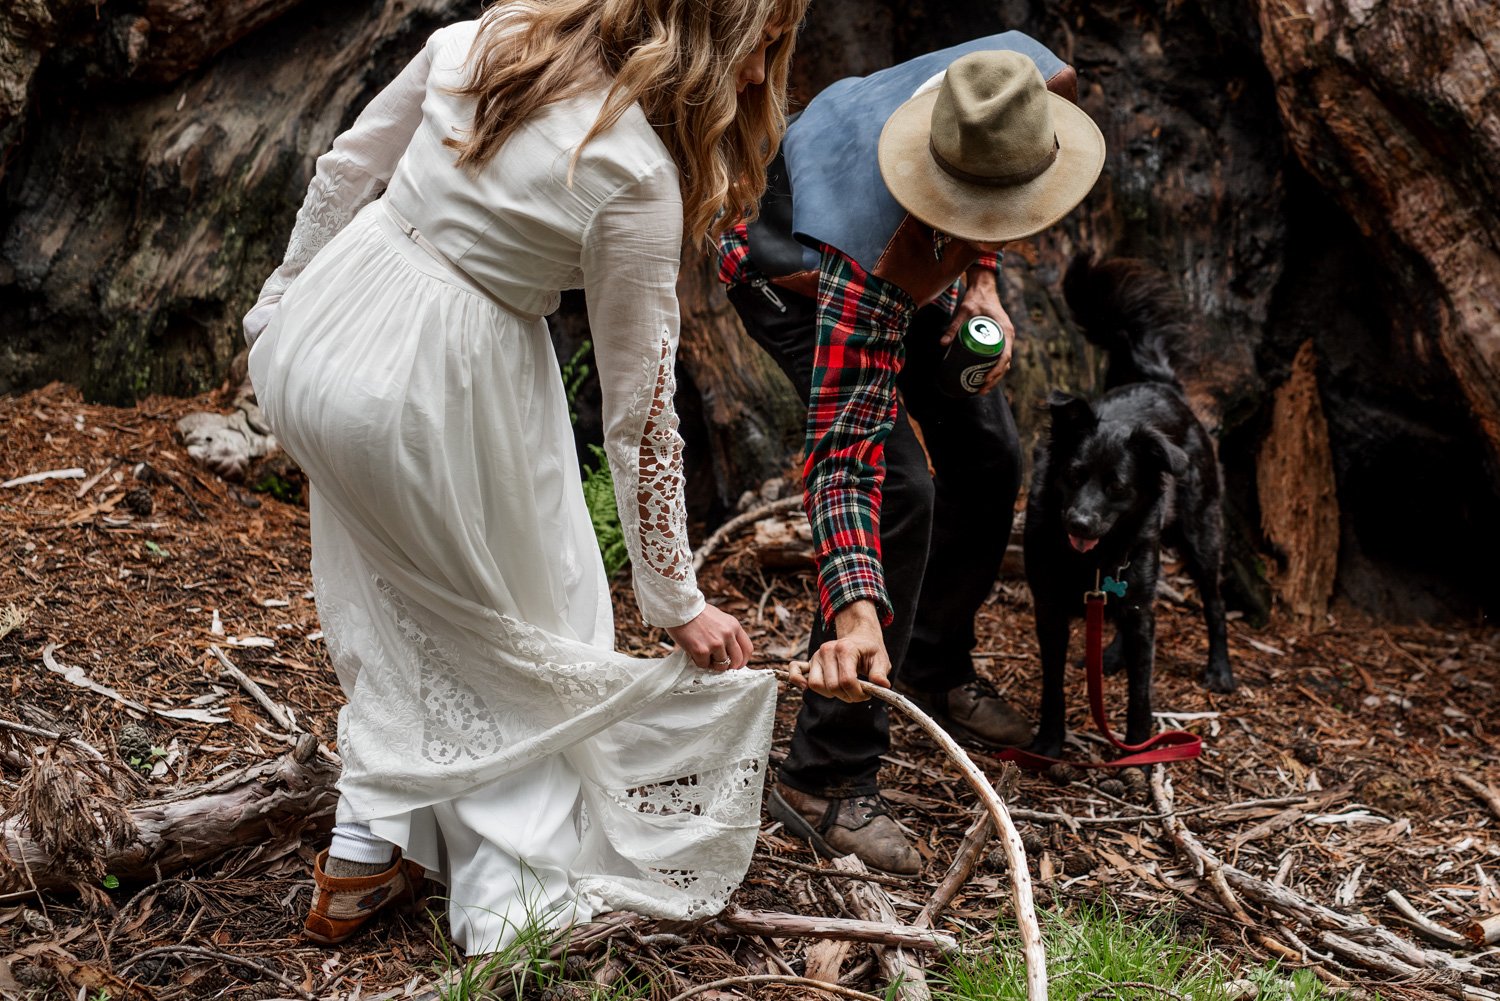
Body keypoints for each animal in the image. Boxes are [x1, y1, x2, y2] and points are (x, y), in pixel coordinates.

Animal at [1026, 258, 1236, 759]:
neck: (1093, 559)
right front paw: (1048, 742)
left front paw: (1139, 750)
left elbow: (1141, 692)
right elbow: (1052, 685)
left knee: (1215, 604)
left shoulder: (1143, 615)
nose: (1079, 521)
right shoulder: (1049, 608)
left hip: (1200, 536)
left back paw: (1220, 670)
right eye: (1074, 474)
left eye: (1117, 486)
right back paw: (1112, 655)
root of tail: (1163, 385)